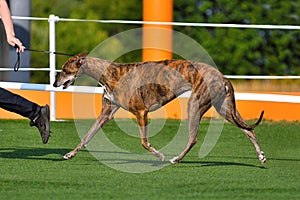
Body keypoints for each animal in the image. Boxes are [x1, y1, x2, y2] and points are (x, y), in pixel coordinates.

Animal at [52, 53, 266, 164]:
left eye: (64, 70)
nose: (54, 83)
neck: (110, 73)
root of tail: (223, 77)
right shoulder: (107, 113)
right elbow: (87, 136)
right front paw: (70, 154)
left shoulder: (141, 112)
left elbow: (144, 143)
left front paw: (159, 155)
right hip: (225, 109)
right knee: (249, 130)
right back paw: (261, 156)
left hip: (195, 105)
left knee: (193, 138)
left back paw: (176, 159)